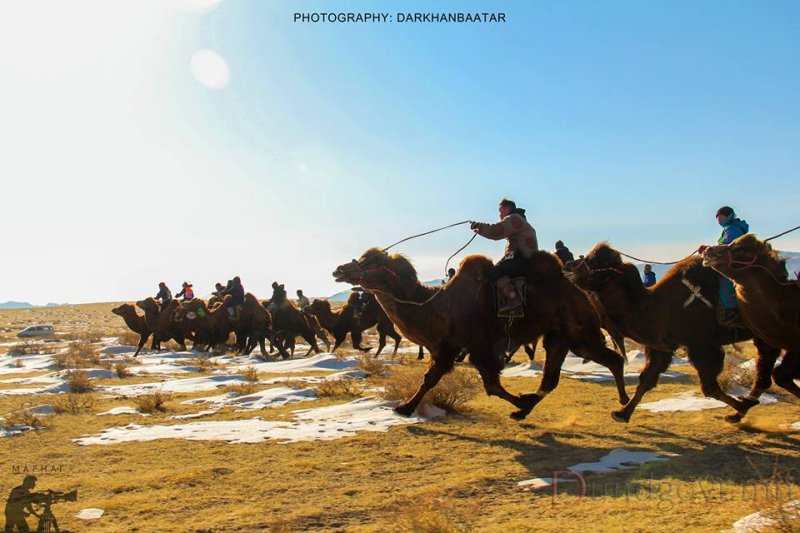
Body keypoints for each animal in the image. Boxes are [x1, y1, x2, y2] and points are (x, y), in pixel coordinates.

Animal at [332, 247, 632, 418]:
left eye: (368, 262)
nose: (339, 269)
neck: (432, 306)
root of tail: (581, 292)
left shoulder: (470, 346)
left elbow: (484, 385)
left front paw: (404, 408)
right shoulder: (452, 348)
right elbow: (439, 379)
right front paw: (522, 404)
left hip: (579, 330)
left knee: (607, 359)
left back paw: (623, 405)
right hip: (561, 336)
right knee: (556, 377)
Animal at [564, 242, 784, 424]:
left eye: (595, 261)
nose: (568, 266)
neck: (660, 306)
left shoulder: (702, 345)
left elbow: (709, 387)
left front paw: (742, 406)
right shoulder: (662, 346)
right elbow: (646, 380)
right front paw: (622, 413)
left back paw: (740, 410)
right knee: (764, 374)